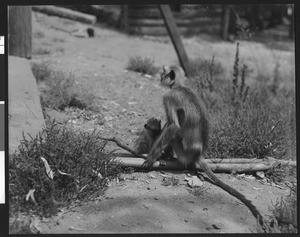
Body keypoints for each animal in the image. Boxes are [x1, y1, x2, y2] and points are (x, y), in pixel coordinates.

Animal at [142, 64, 264, 228]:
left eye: (163, 73)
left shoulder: (169, 96)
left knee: (172, 130)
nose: (160, 77)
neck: (180, 86)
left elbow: (174, 126)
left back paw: (166, 155)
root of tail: (198, 155)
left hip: (182, 151)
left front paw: (152, 156)